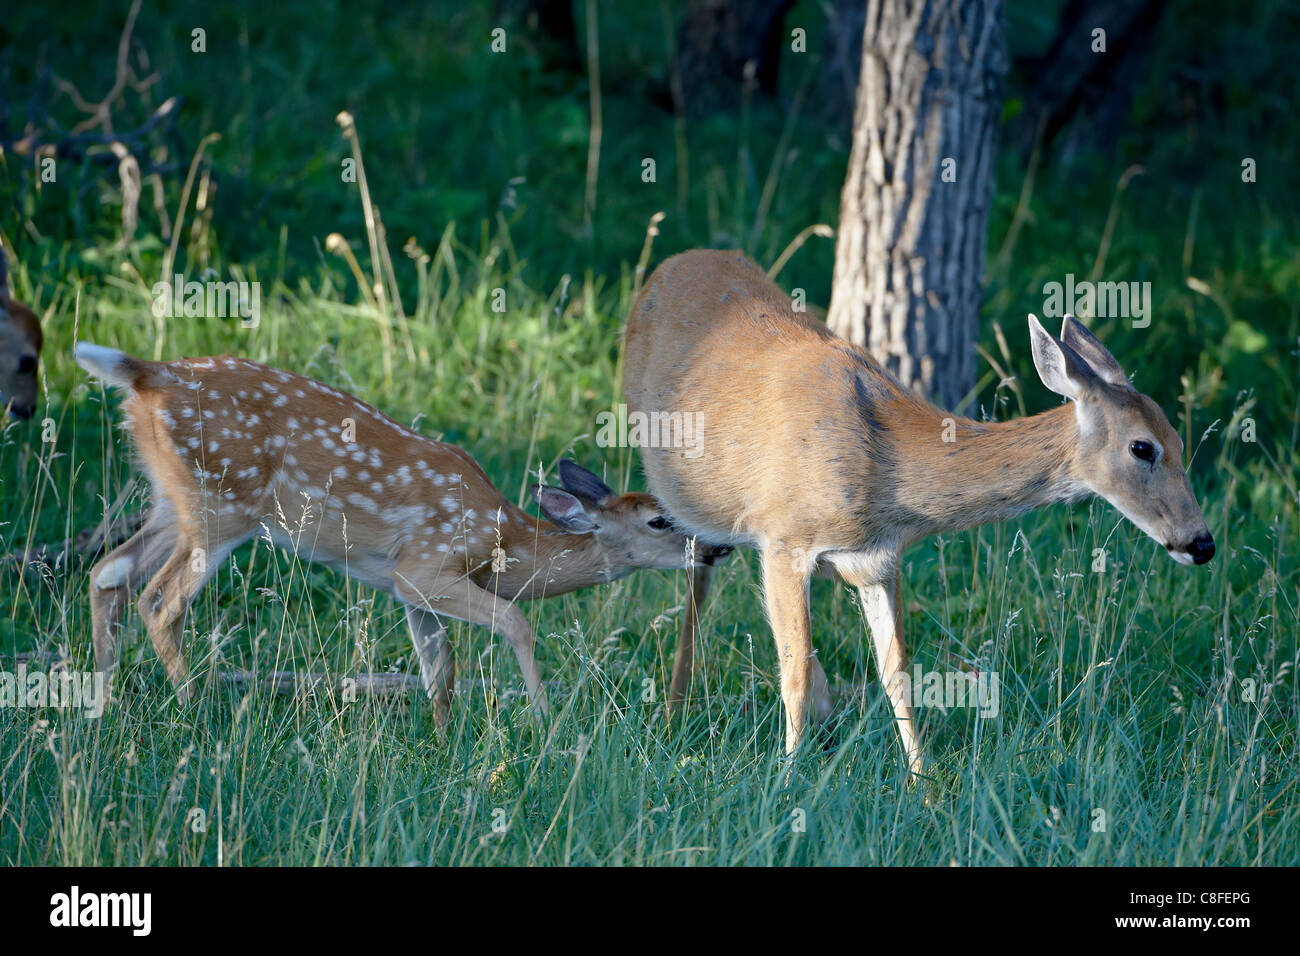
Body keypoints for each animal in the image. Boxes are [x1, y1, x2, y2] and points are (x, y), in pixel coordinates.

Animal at [624, 251, 1211, 780]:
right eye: (1143, 447)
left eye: (1183, 442)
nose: (1200, 543)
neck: (886, 476)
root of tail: (671, 262)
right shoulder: (786, 539)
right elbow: (793, 675)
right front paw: (786, 781)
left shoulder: (877, 561)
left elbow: (898, 675)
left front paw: (924, 788)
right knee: (698, 577)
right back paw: (674, 716)